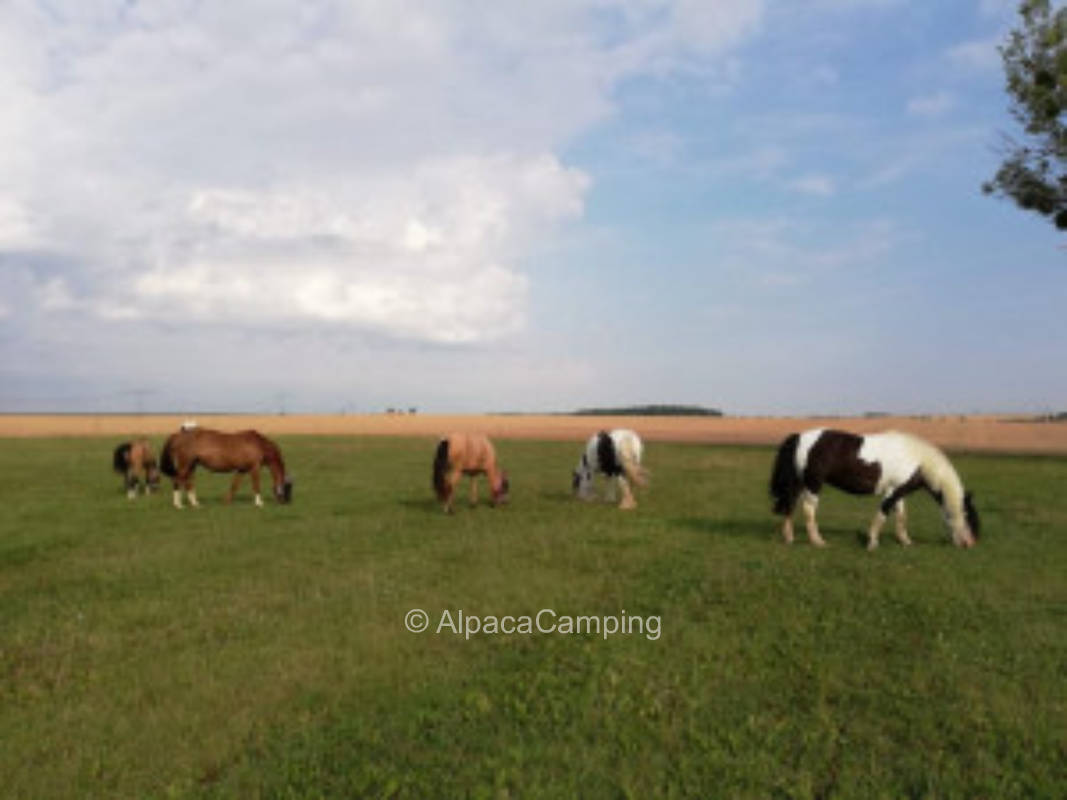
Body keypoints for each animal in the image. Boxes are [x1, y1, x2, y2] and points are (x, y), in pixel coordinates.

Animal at [157, 428, 292, 509]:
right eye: (287, 487)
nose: (286, 502)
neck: (258, 444)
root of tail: (179, 435)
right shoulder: (255, 468)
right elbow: (256, 485)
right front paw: (259, 503)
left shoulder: (242, 470)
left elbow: (234, 486)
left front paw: (226, 501)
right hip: (185, 465)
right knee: (177, 481)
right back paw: (178, 505)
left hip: (191, 465)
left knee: (188, 483)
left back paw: (195, 504)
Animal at [772, 433, 977, 550]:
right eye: (968, 516)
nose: (970, 543)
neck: (919, 461)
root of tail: (800, 437)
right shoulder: (891, 493)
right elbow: (882, 515)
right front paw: (872, 543)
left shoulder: (898, 492)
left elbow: (901, 517)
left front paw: (906, 542)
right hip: (813, 484)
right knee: (808, 510)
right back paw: (818, 541)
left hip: (800, 483)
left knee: (790, 504)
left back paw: (789, 538)